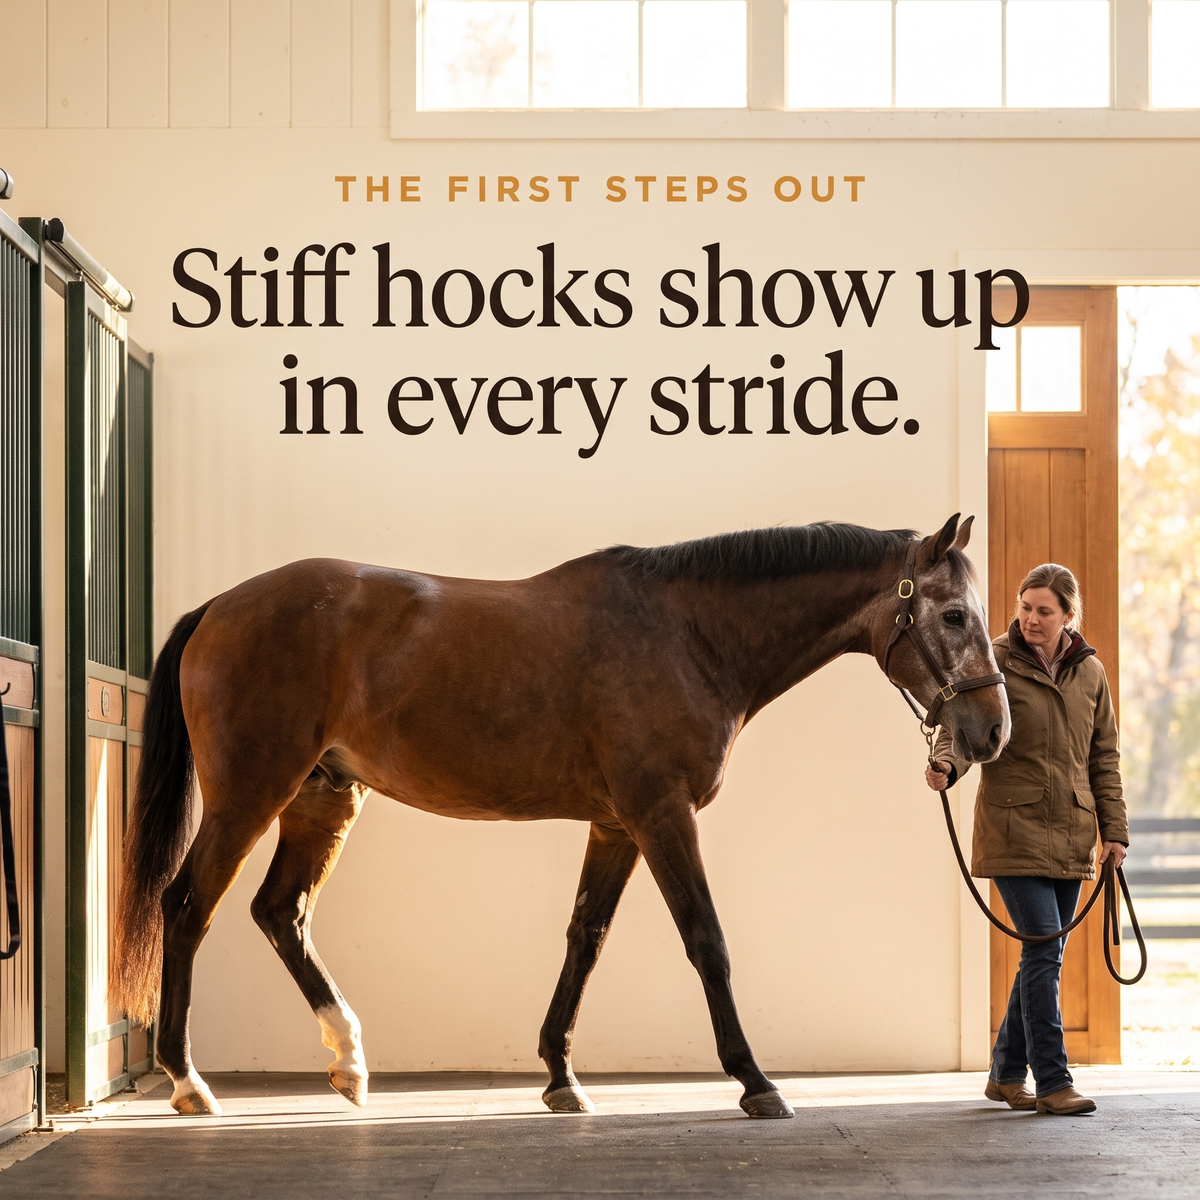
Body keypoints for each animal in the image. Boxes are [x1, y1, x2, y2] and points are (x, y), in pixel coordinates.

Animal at [113, 514, 1009, 1120]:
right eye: (954, 615)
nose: (991, 732)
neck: (688, 633)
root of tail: (220, 607)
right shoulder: (661, 815)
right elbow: (707, 941)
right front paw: (756, 1081)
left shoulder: (616, 825)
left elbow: (587, 937)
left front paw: (560, 1076)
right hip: (249, 796)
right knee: (187, 908)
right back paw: (189, 1082)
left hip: (322, 797)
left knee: (282, 911)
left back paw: (349, 1062)